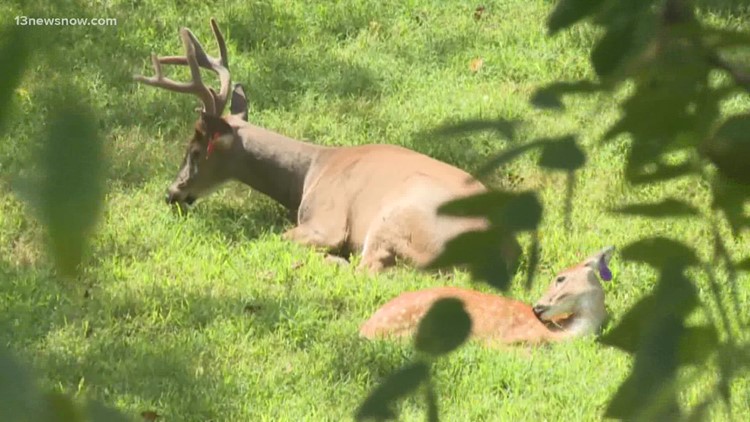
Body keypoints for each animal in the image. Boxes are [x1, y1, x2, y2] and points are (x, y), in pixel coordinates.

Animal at [133, 18, 521, 273]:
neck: (309, 173)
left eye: (195, 151)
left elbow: (282, 236)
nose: (171, 192)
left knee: (367, 269)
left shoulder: (326, 221)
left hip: (395, 217)